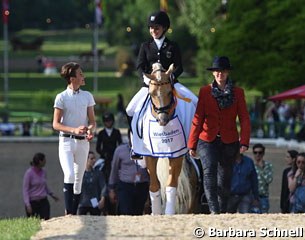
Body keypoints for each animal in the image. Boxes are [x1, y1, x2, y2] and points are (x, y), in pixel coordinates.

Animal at [130, 63, 200, 214]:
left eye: (169, 92)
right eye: (151, 93)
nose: (162, 120)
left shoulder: (177, 155)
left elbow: (171, 185)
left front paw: (169, 213)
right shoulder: (150, 157)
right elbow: (154, 186)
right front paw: (156, 213)